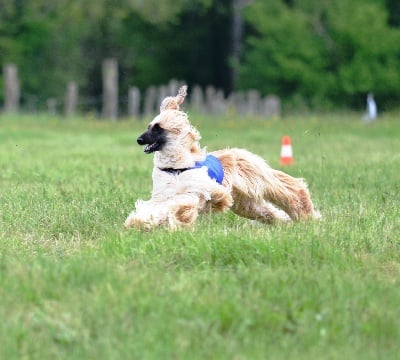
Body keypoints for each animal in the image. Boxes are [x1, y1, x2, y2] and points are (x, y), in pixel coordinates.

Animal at [123, 86, 320, 229]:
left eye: (157, 128)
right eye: (149, 126)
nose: (139, 140)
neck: (175, 168)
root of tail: (239, 152)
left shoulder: (205, 191)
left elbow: (179, 203)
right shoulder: (163, 196)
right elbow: (158, 207)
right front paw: (140, 221)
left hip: (260, 179)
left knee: (292, 190)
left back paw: (309, 216)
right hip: (245, 203)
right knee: (267, 211)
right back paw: (285, 221)